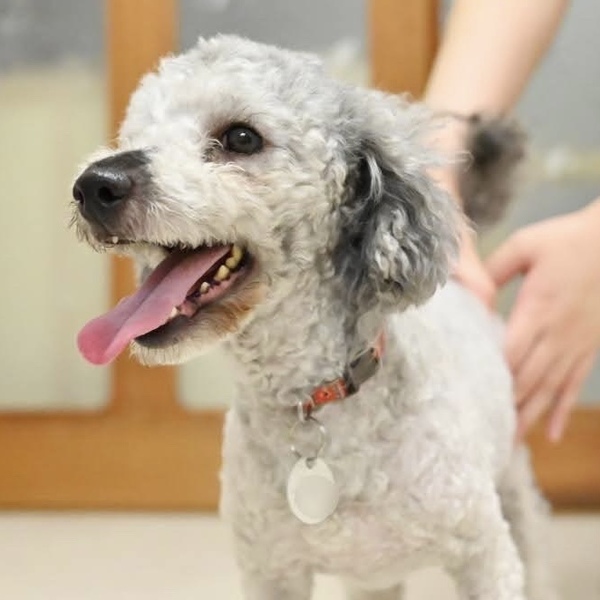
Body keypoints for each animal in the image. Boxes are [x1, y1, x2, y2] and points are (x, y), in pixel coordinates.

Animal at [72, 35, 556, 600]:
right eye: (134, 134)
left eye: (241, 138)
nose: (94, 185)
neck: (312, 399)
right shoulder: (271, 571)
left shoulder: (485, 555)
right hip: (372, 580)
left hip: (514, 494)